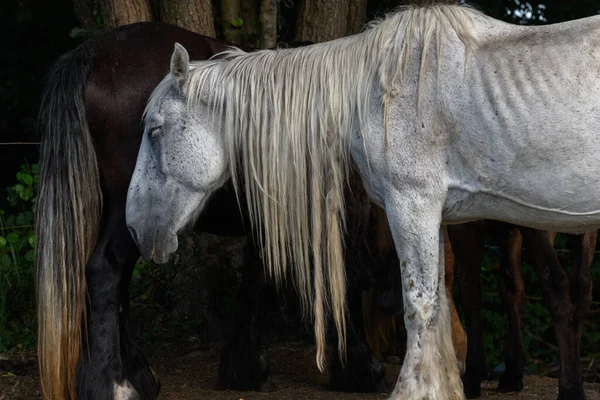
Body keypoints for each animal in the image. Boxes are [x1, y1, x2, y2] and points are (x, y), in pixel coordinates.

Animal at [125, 3, 600, 400]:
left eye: (155, 129)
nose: (134, 227)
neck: (382, 90)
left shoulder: (412, 205)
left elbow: (419, 308)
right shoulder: (434, 216)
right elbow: (439, 308)